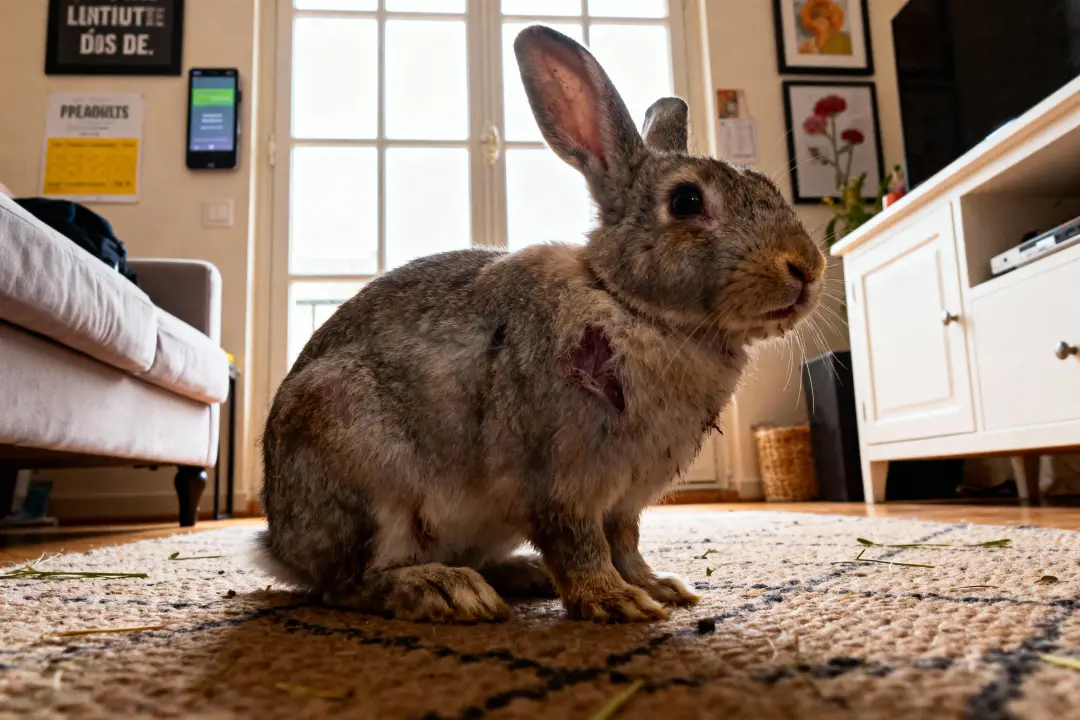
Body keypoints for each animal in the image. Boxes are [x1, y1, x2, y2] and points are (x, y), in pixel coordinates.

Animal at [257, 25, 825, 624]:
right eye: (687, 200)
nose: (807, 268)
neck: (630, 304)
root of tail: (281, 545)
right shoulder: (561, 481)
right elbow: (580, 543)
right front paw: (616, 602)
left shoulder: (624, 500)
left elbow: (626, 543)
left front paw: (662, 588)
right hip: (368, 478)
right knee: (349, 584)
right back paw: (446, 590)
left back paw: (521, 576)